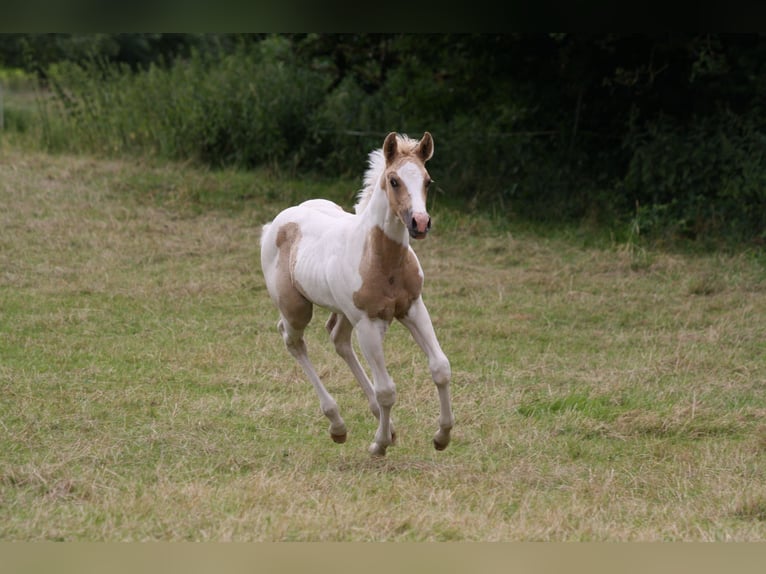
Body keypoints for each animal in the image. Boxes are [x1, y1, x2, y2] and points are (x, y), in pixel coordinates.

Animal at [262, 132, 456, 460]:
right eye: (394, 180)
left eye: (428, 181)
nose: (419, 223)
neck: (381, 259)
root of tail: (274, 224)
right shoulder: (368, 323)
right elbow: (387, 389)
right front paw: (379, 444)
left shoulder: (413, 308)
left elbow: (440, 367)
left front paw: (442, 436)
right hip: (297, 309)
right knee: (293, 340)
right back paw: (337, 424)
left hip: (343, 311)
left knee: (337, 338)